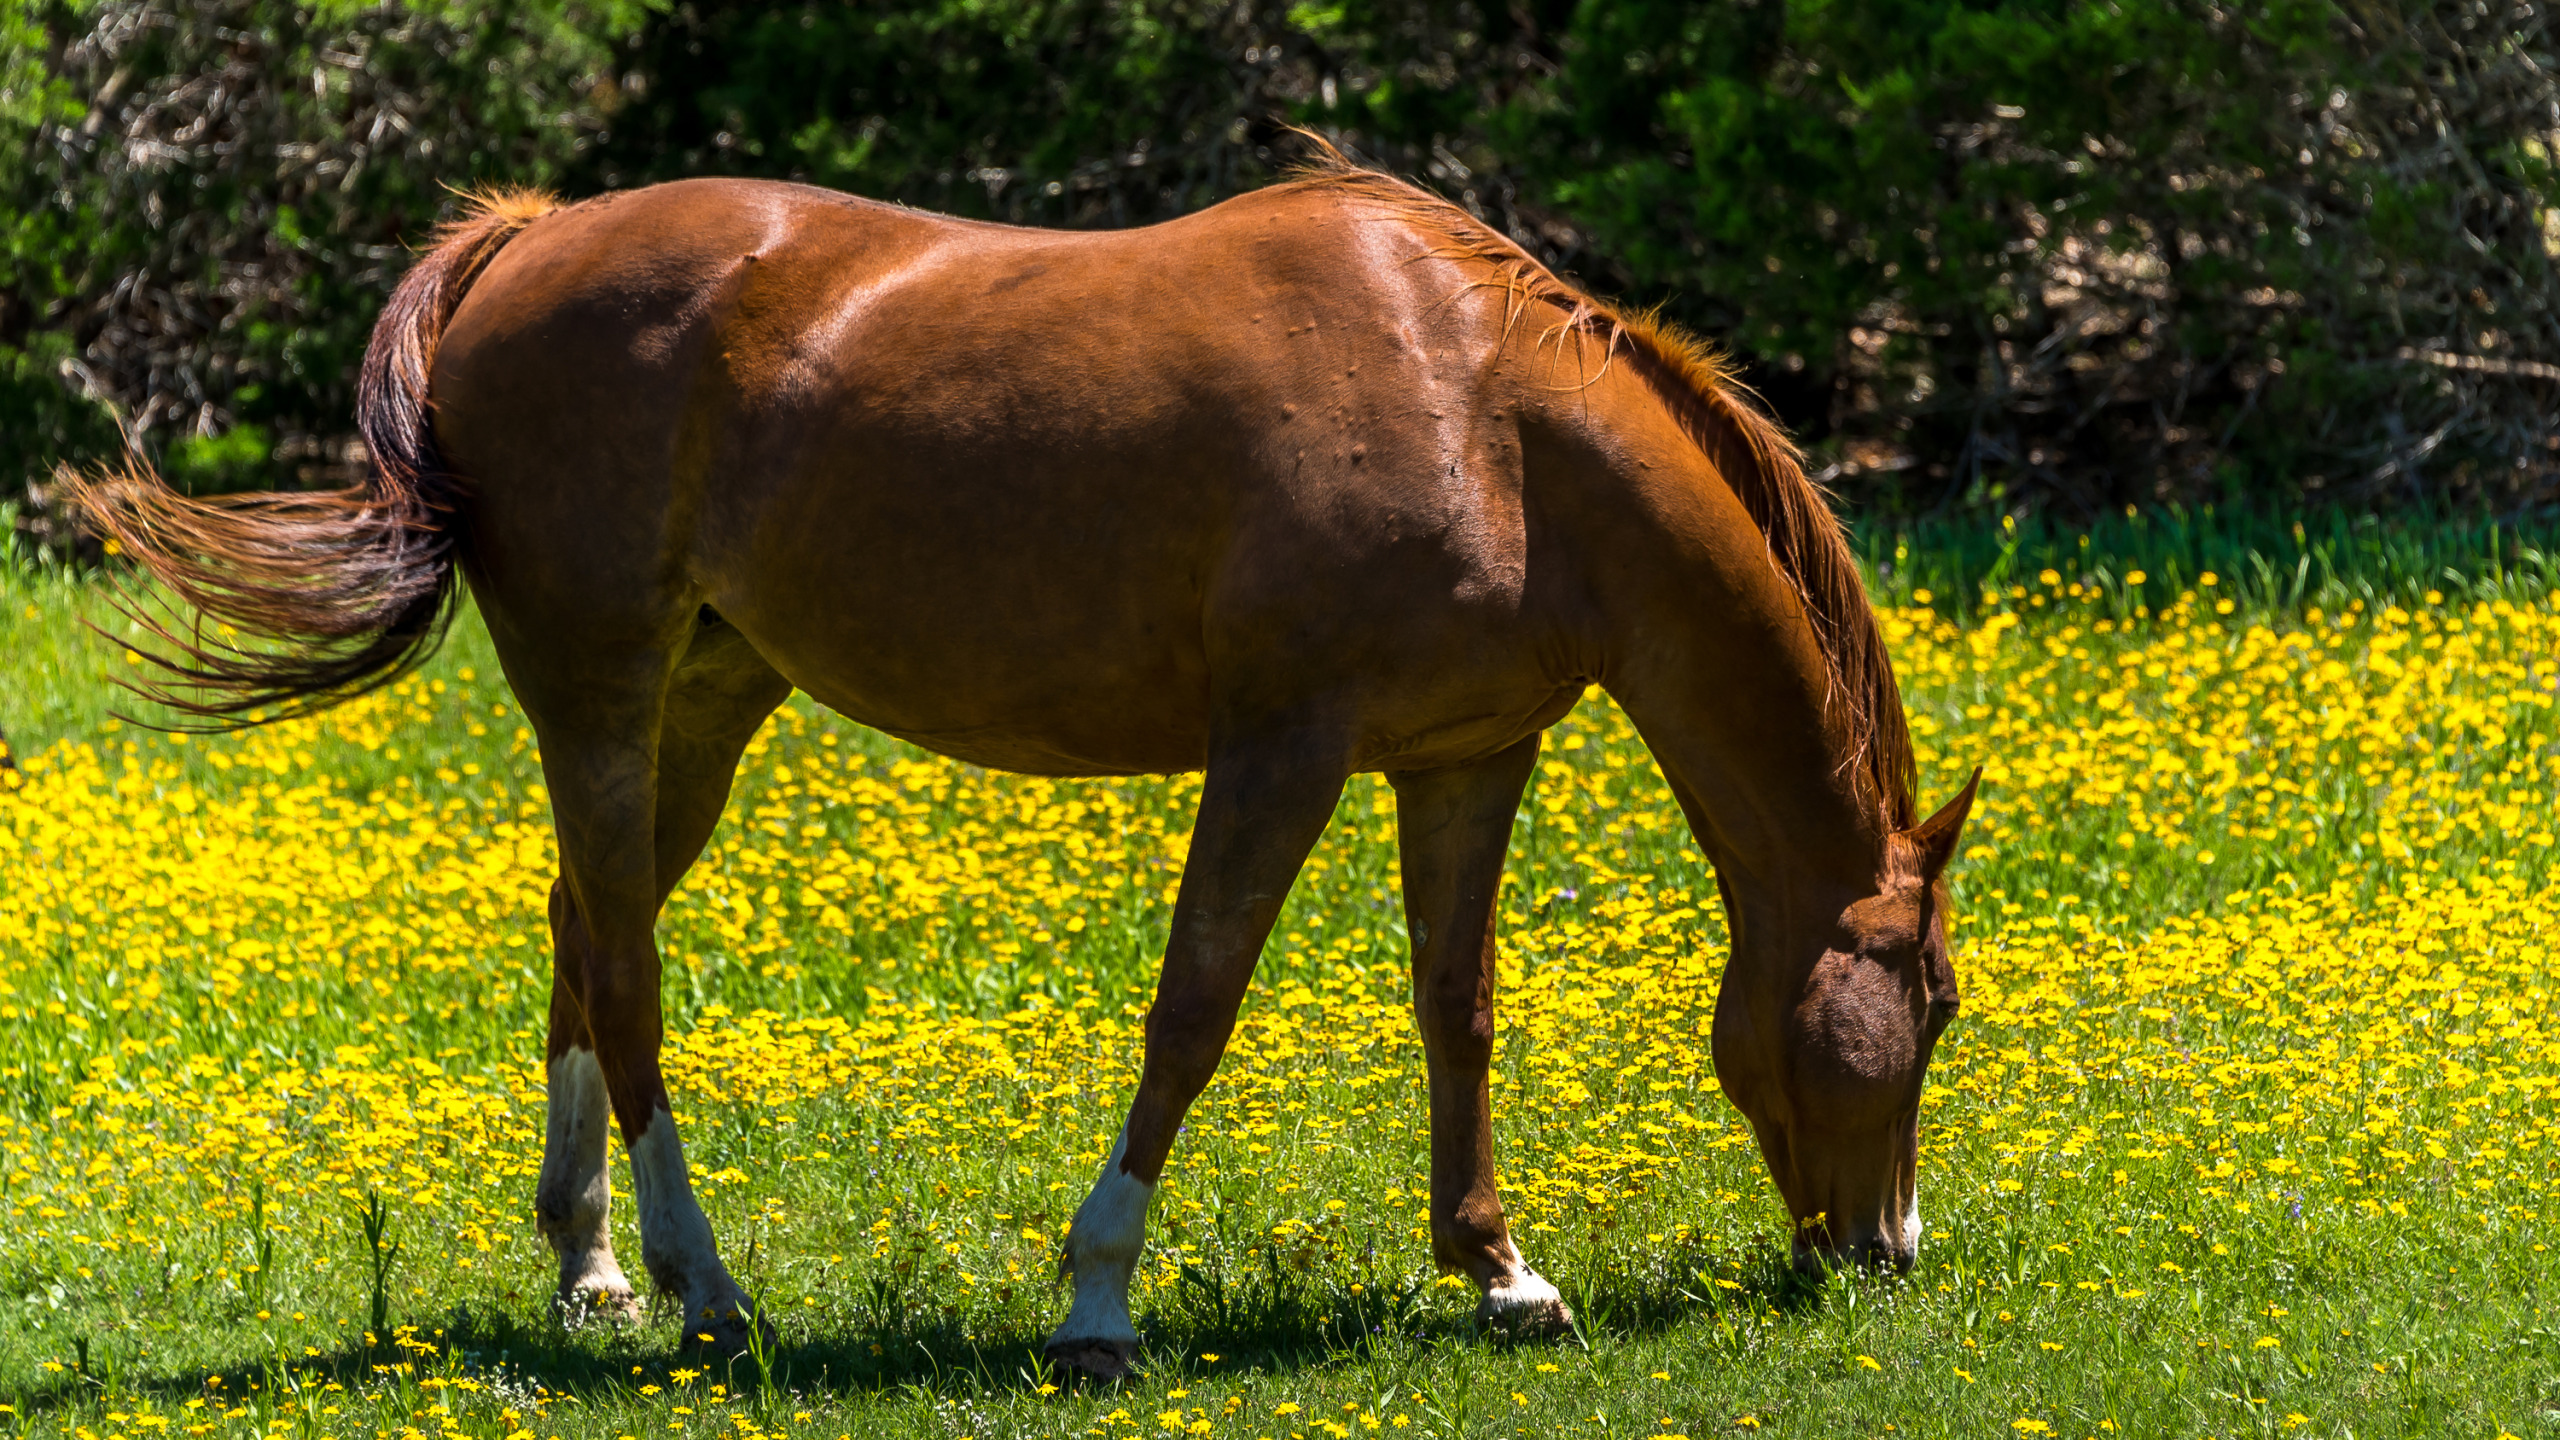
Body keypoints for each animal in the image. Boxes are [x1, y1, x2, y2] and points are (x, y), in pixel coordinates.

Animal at [70, 151, 1966, 1373]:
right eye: (1936, 1006)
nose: (1887, 1257)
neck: (1488, 411)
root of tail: (523, 247)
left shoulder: (1465, 757)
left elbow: (1460, 1012)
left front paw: (1499, 1275)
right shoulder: (1280, 752)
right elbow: (1193, 1011)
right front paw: (1099, 1299)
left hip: (708, 697)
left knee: (577, 931)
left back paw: (592, 1269)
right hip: (598, 690)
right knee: (623, 974)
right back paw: (706, 1290)